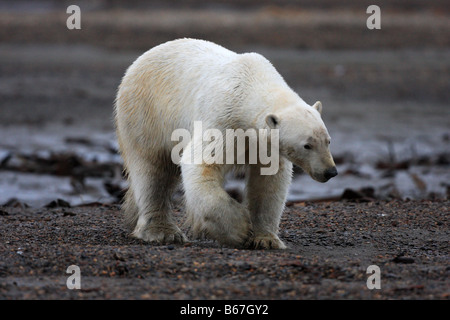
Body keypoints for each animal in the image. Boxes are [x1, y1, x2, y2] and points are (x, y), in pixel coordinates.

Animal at [114, 38, 336, 249]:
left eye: (328, 141)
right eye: (307, 145)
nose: (330, 171)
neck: (250, 84)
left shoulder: (264, 144)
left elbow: (268, 183)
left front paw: (266, 239)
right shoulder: (223, 119)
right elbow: (201, 163)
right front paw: (240, 230)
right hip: (145, 114)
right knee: (152, 170)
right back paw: (162, 231)